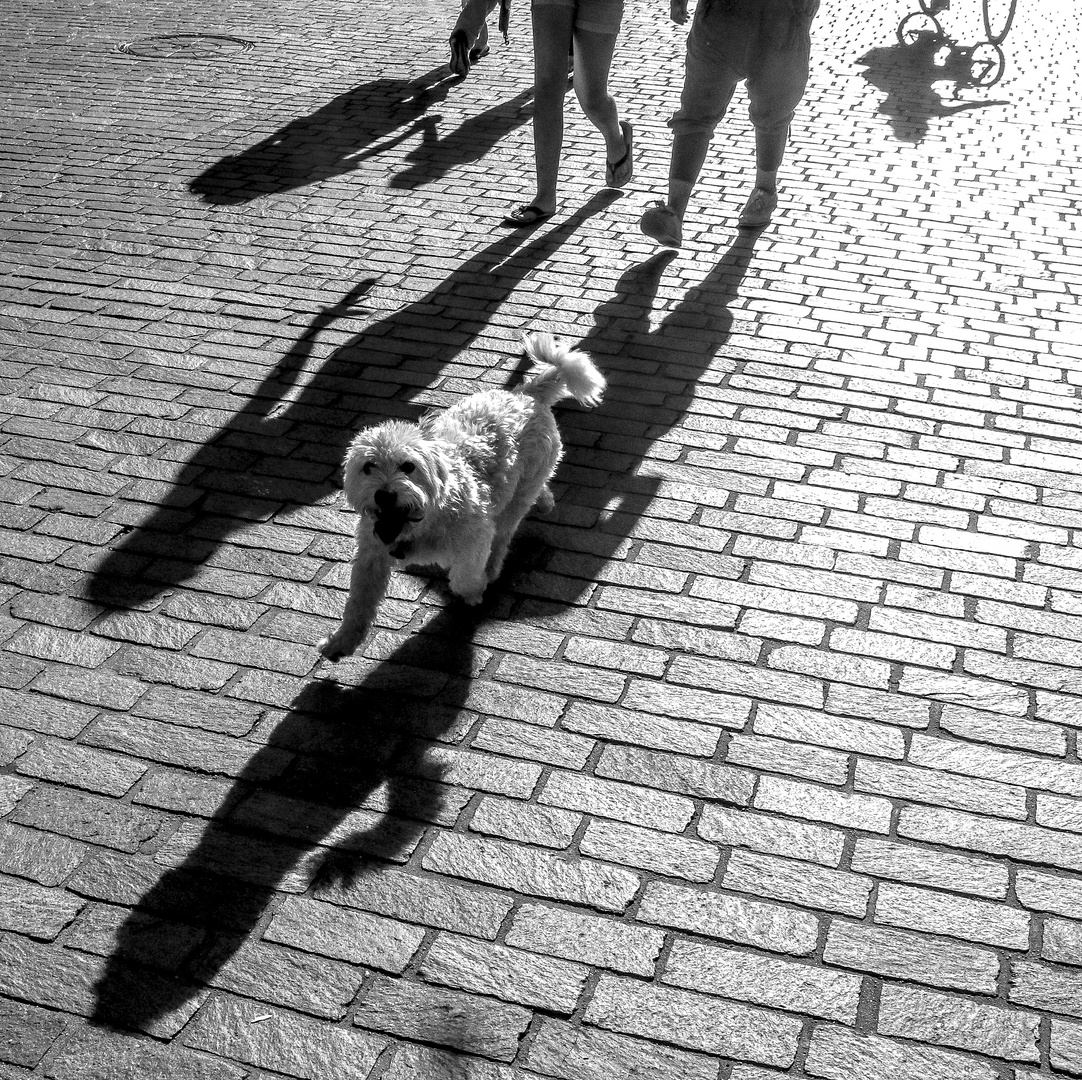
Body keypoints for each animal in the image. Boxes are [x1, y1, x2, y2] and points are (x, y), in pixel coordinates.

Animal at [315, 333, 610, 662]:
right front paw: (341, 641)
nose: (385, 495)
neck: (423, 520)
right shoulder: (371, 556)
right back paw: (545, 502)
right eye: (368, 467)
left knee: (503, 535)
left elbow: (465, 577)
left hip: (516, 500)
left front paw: (473, 592)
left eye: (408, 466)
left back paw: (493, 567)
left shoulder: (474, 539)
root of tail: (525, 396)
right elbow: (358, 604)